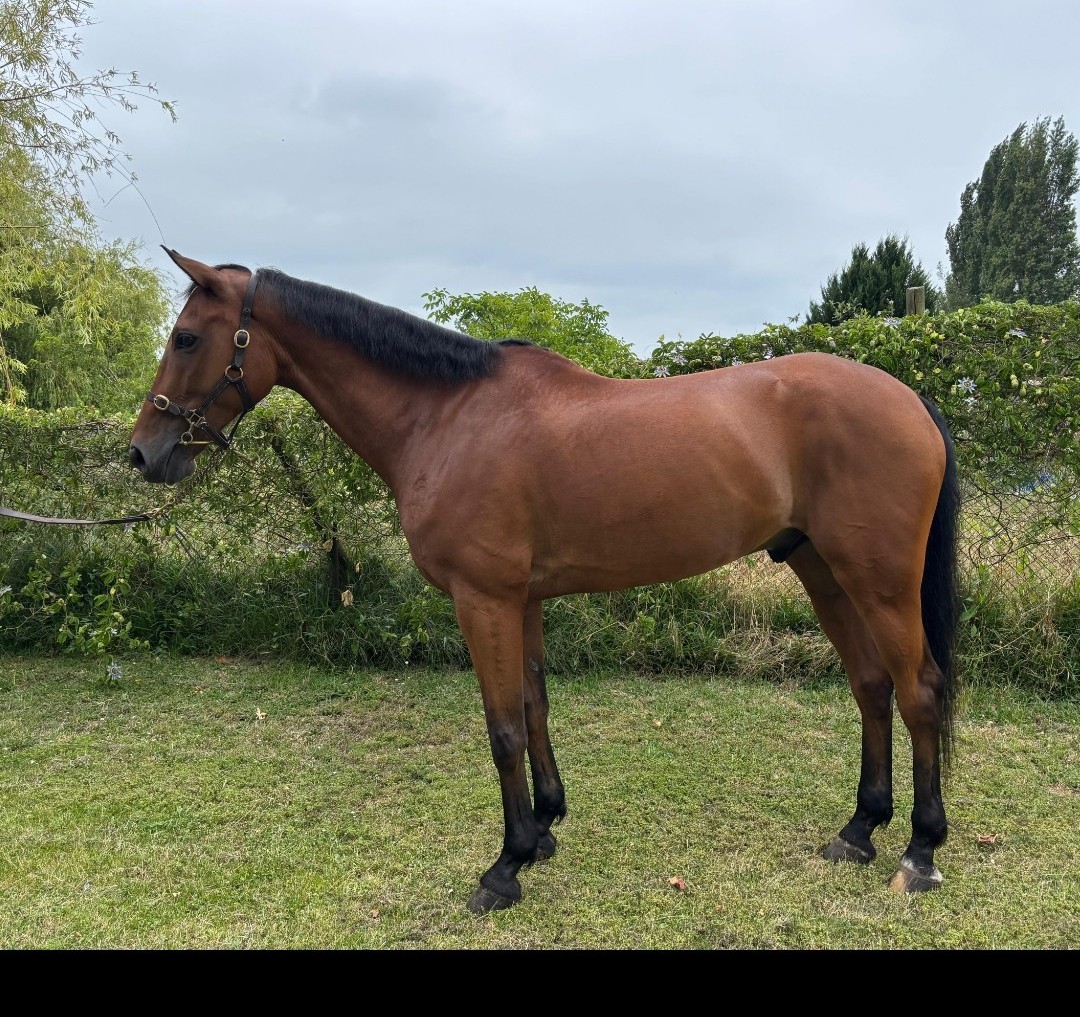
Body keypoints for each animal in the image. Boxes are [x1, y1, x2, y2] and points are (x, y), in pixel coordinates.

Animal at [129, 249, 961, 915]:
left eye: (187, 337)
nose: (143, 452)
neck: (448, 416)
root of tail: (910, 398)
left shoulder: (483, 600)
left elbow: (500, 727)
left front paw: (504, 867)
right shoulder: (521, 601)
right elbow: (533, 708)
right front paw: (545, 827)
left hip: (879, 582)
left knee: (917, 691)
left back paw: (919, 852)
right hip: (825, 572)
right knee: (870, 686)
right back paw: (859, 829)